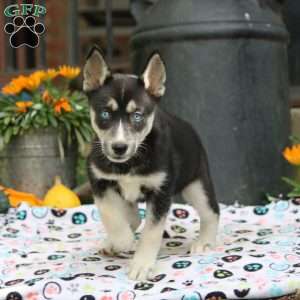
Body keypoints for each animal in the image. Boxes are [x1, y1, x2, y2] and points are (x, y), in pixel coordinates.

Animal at [83, 45, 219, 280]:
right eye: (105, 114)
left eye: (137, 116)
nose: (119, 147)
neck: (129, 164)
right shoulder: (99, 181)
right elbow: (110, 213)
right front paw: (121, 240)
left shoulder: (160, 192)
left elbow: (152, 232)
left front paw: (141, 264)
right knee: (133, 217)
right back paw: (113, 241)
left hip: (197, 184)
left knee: (212, 212)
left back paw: (204, 242)